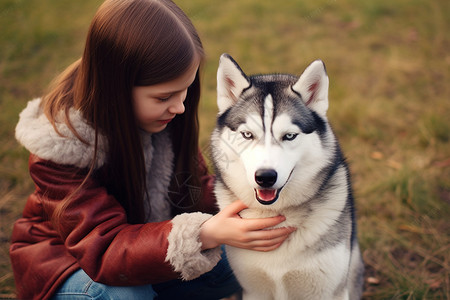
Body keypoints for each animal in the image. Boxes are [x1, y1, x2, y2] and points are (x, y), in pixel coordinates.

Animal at [212, 54, 366, 300]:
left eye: (290, 136)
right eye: (247, 134)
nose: (265, 177)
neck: (276, 215)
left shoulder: (328, 290)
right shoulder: (253, 289)